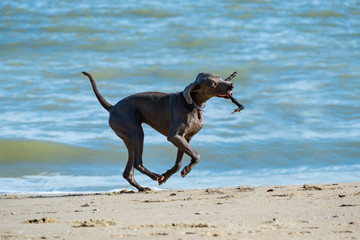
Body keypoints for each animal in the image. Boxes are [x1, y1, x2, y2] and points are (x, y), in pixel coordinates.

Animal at [83, 71, 236, 191]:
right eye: (213, 84)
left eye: (219, 77)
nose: (231, 85)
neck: (193, 104)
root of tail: (112, 107)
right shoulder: (175, 136)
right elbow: (196, 155)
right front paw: (183, 171)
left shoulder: (185, 138)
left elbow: (179, 162)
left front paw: (168, 175)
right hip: (136, 132)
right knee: (137, 163)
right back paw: (155, 176)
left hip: (128, 138)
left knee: (128, 171)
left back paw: (142, 188)